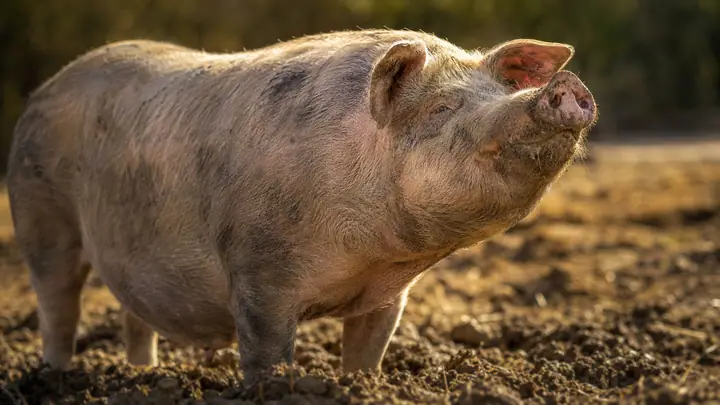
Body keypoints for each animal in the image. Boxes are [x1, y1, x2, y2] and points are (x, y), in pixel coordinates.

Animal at [6, 29, 597, 383]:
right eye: (443, 107)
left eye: (501, 90)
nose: (563, 86)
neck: (373, 253)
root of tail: (41, 94)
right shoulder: (256, 270)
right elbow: (266, 352)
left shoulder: (391, 296)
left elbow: (368, 351)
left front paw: (362, 387)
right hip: (40, 217)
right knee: (58, 306)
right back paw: (54, 377)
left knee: (134, 316)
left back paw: (142, 377)